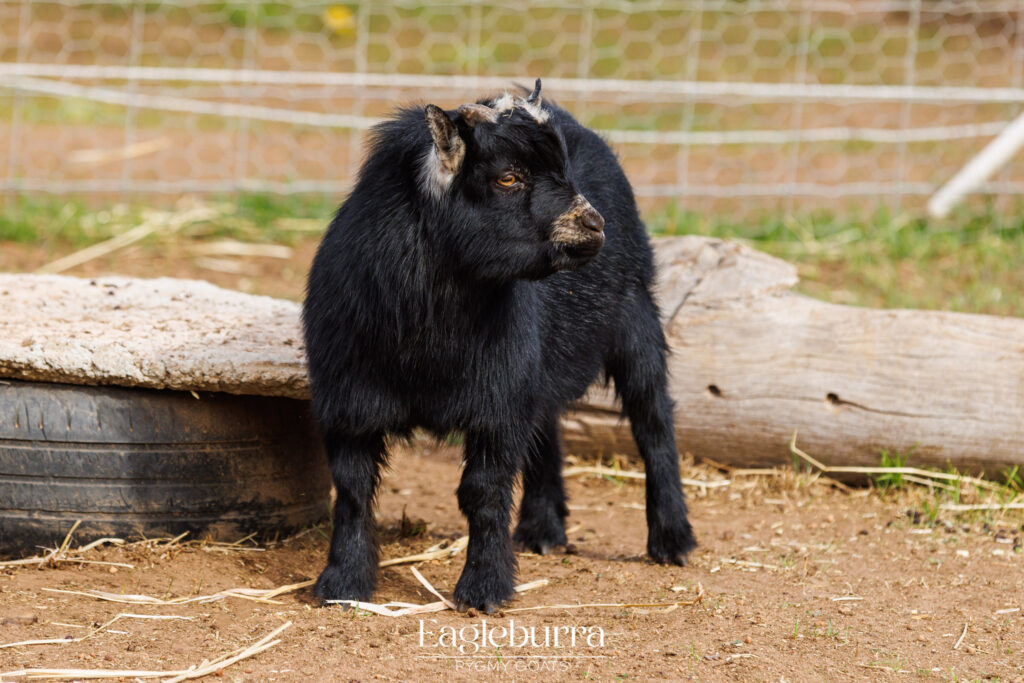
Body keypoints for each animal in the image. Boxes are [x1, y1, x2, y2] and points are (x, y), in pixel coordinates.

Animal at [303, 80, 696, 613]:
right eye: (508, 178)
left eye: (562, 169)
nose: (593, 225)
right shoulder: (349, 402)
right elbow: (352, 490)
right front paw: (343, 584)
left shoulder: (499, 401)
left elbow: (483, 493)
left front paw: (484, 588)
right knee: (548, 426)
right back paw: (543, 529)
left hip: (637, 319)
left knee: (653, 420)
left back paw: (672, 540)